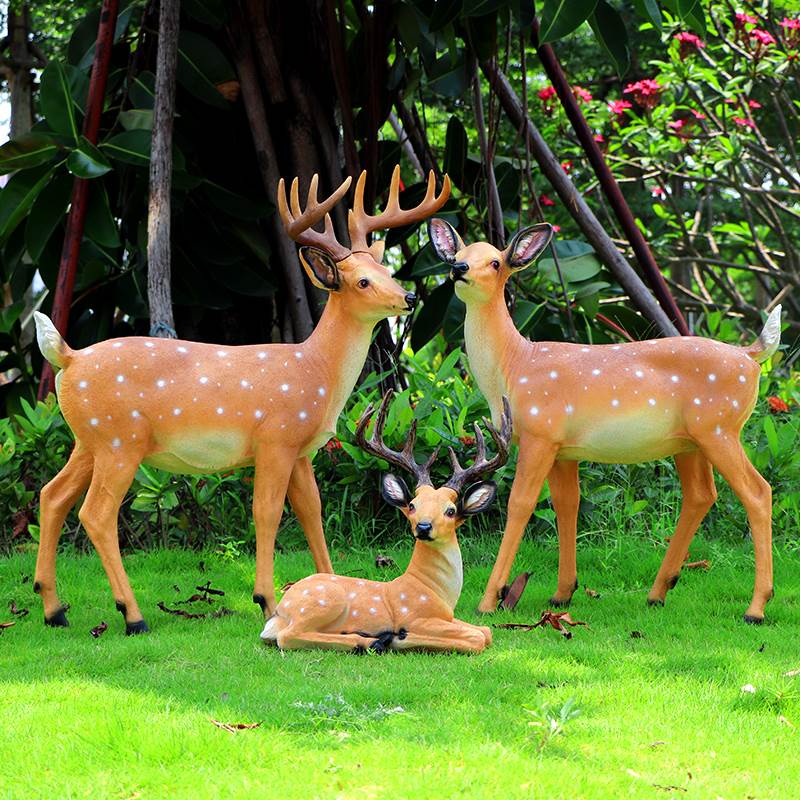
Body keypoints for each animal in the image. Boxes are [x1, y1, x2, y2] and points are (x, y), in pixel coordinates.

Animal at [32, 166, 450, 636]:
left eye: (384, 269)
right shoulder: (275, 438)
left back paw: (54, 610)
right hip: (120, 440)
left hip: (89, 440)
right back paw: (133, 615)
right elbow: (267, 513)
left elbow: (311, 511)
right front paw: (266, 601)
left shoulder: (301, 450)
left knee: (52, 495)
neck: (316, 372)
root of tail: (68, 357)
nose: (409, 297)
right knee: (95, 513)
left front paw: (331, 586)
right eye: (362, 280)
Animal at [262, 390, 512, 652]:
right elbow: (477, 638)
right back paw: (371, 640)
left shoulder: (450, 617)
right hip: (325, 601)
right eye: (412, 506)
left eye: (451, 511)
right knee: (287, 636)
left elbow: (485, 631)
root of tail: (281, 610)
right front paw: (402, 637)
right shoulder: (416, 615)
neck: (436, 593)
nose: (423, 527)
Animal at [428, 219, 784, 624]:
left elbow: (520, 503)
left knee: (757, 492)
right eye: (457, 255)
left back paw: (755, 608)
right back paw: (658, 592)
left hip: (719, 427)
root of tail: (751, 357)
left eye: (494, 262)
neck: (513, 366)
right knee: (701, 495)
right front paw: (562, 593)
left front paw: (490, 599)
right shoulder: (563, 448)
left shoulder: (539, 432)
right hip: (690, 440)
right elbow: (567, 503)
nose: (459, 269)